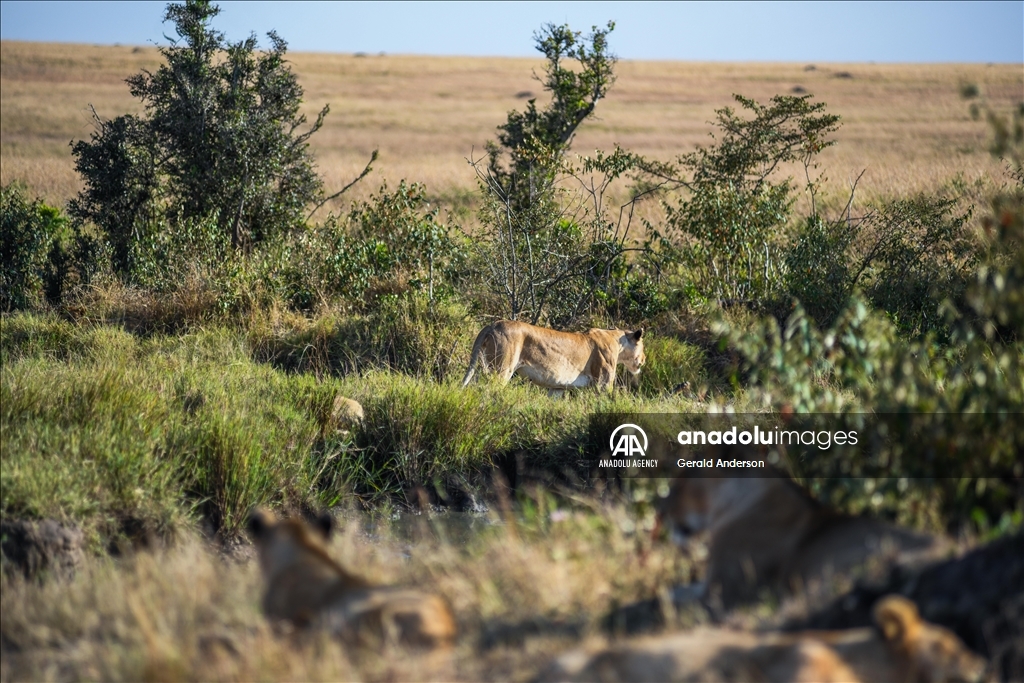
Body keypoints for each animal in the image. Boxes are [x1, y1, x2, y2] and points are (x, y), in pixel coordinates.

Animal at [462, 321, 643, 395]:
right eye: (643, 345)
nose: (644, 359)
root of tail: (493, 324)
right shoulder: (603, 384)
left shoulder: (558, 387)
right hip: (501, 370)